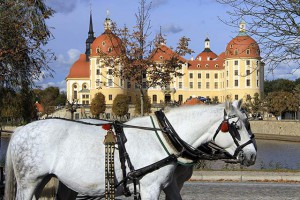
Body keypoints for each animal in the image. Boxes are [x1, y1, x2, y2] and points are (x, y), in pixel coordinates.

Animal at [4, 99, 256, 199]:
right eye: (235, 126)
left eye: (248, 122)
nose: (253, 155)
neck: (164, 137)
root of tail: (20, 129)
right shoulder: (150, 187)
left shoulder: (169, 185)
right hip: (29, 182)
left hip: (45, 180)